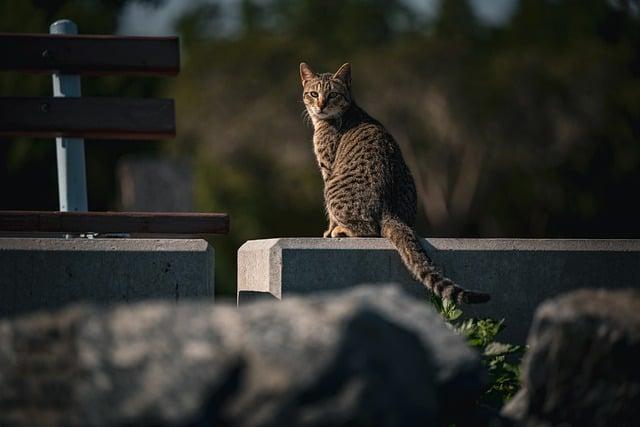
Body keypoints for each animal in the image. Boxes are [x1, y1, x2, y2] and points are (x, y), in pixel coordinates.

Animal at [300, 62, 490, 304]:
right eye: (313, 94)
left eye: (332, 94)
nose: (321, 105)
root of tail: (390, 211)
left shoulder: (327, 168)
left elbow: (331, 217)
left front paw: (329, 229)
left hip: (332, 188)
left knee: (370, 228)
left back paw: (341, 230)